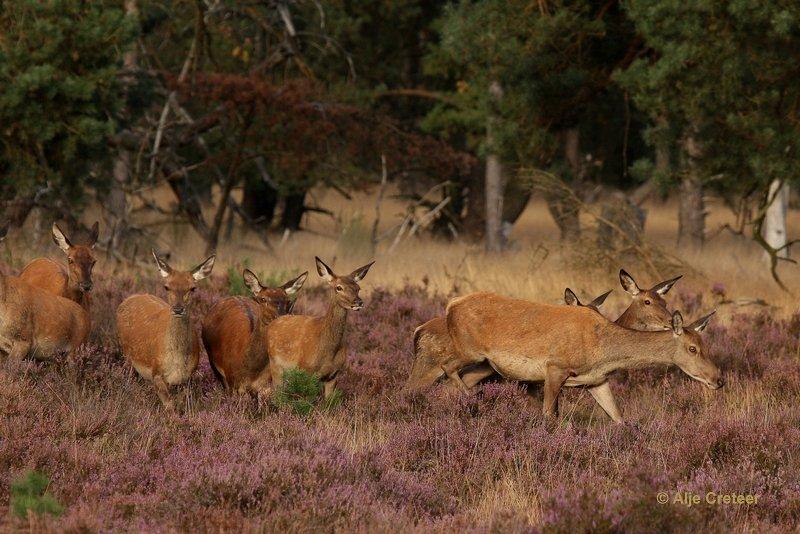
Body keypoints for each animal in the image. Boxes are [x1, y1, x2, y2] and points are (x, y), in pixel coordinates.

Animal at [115, 250, 216, 410]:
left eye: (193, 288)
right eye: (167, 287)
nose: (178, 309)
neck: (177, 361)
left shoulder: (188, 377)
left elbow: (180, 403)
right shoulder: (156, 372)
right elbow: (169, 405)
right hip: (125, 352)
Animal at [264, 258, 374, 400]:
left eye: (358, 288)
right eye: (338, 287)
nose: (358, 302)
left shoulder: (333, 375)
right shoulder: (306, 370)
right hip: (275, 365)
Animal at [444, 292, 720, 426]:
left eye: (706, 345)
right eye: (692, 348)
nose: (718, 379)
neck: (602, 352)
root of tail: (451, 304)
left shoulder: (596, 381)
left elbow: (618, 417)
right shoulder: (556, 367)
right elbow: (549, 416)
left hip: (485, 364)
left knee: (459, 379)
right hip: (469, 350)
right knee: (447, 367)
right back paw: (475, 402)